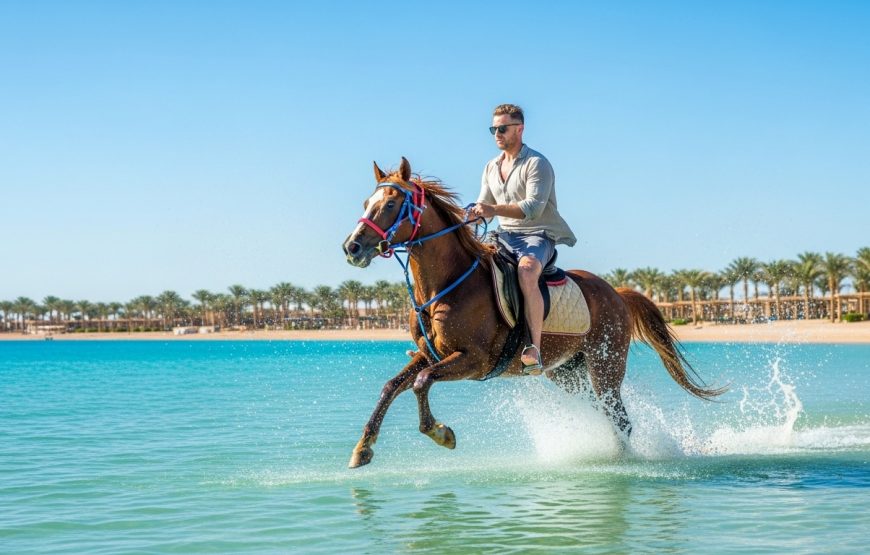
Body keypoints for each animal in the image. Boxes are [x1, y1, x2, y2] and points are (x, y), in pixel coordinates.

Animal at [342, 157, 724, 468]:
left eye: (392, 203)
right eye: (367, 203)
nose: (352, 247)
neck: (445, 286)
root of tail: (616, 292)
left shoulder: (473, 360)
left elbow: (422, 382)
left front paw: (440, 432)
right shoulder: (429, 353)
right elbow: (392, 386)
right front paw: (363, 448)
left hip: (606, 364)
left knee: (620, 418)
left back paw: (622, 462)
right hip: (567, 373)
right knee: (604, 413)